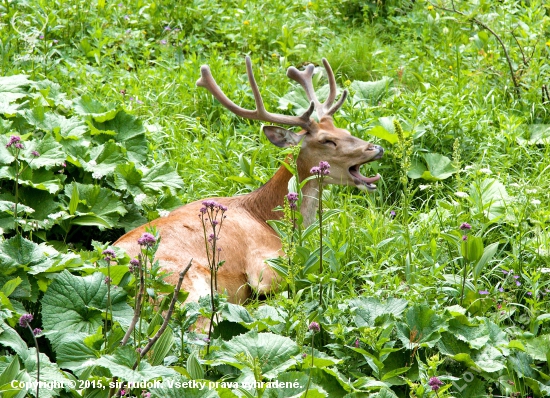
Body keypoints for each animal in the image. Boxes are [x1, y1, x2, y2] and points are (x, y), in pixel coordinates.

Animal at [114, 56, 386, 304]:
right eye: (327, 140)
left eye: (345, 130)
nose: (376, 148)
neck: (268, 218)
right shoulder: (265, 267)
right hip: (185, 286)